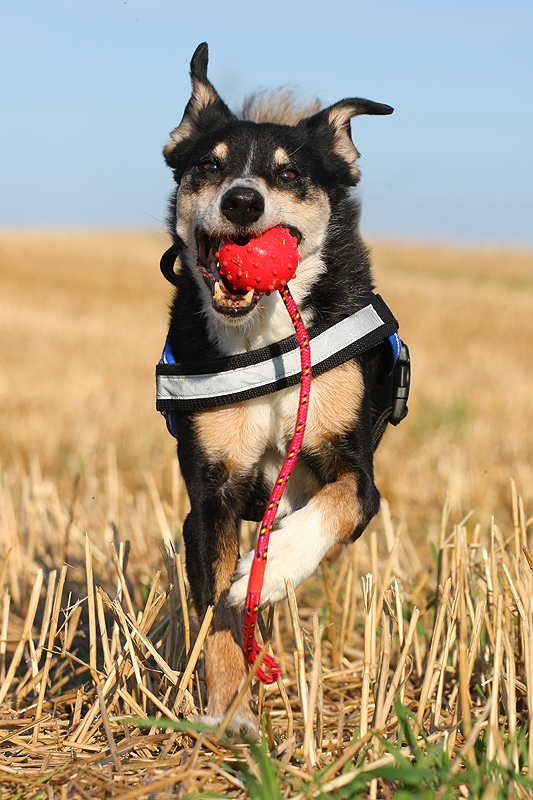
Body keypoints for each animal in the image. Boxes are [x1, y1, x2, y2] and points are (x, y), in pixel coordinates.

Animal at [158, 42, 404, 732]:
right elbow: (216, 609)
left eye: (289, 175)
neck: (266, 340)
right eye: (209, 166)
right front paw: (228, 713)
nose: (242, 201)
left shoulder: (356, 474)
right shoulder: (209, 495)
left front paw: (269, 576)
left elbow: (336, 505)